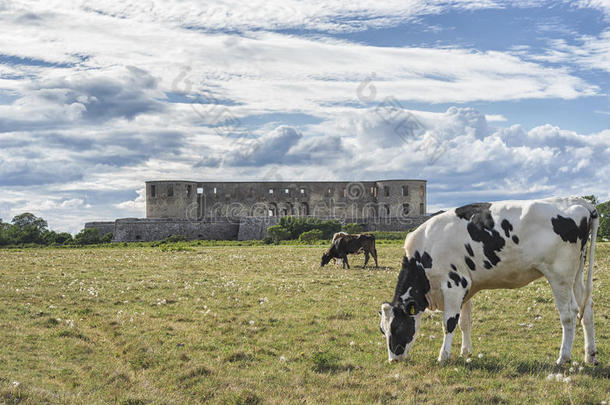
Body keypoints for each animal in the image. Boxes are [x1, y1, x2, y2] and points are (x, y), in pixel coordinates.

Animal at [378, 197, 596, 364]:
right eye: (382, 330)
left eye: (397, 327)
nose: (393, 360)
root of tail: (578, 201)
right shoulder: (467, 287)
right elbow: (465, 321)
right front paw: (465, 352)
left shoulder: (454, 285)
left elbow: (449, 323)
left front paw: (443, 356)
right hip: (576, 274)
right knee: (587, 310)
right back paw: (590, 356)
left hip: (560, 275)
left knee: (569, 314)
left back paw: (563, 358)